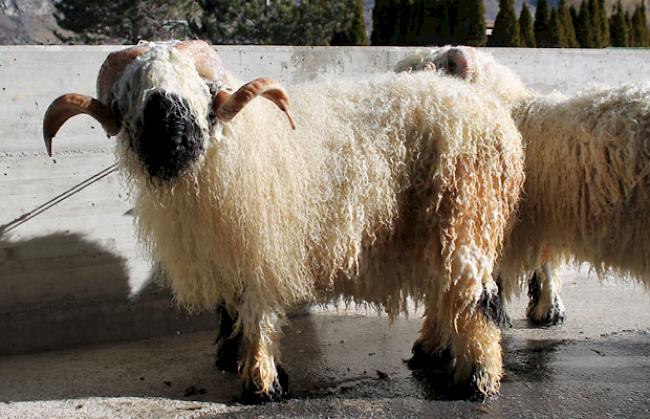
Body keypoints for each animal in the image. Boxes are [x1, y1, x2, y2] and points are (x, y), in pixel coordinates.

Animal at [43, 41, 524, 402]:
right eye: (130, 96)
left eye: (202, 88)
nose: (172, 141)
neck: (231, 146)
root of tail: (488, 110)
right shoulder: (228, 250)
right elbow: (231, 307)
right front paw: (231, 357)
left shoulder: (263, 246)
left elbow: (259, 314)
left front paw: (262, 383)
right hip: (441, 227)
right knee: (447, 292)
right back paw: (432, 353)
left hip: (466, 216)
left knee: (476, 298)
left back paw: (477, 380)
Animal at [392, 47, 648, 326]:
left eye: (429, 70)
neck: (516, 112)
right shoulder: (542, 215)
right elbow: (544, 261)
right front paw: (548, 309)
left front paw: (503, 311)